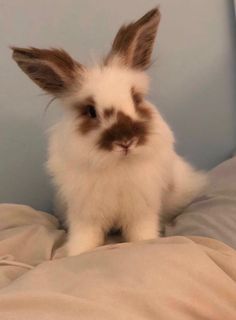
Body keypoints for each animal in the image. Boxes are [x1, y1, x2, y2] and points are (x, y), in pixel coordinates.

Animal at [11, 7, 206, 256]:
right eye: (90, 111)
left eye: (136, 99)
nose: (126, 141)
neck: (116, 165)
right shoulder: (85, 216)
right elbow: (84, 240)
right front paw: (74, 254)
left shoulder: (141, 212)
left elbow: (142, 235)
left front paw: (149, 243)